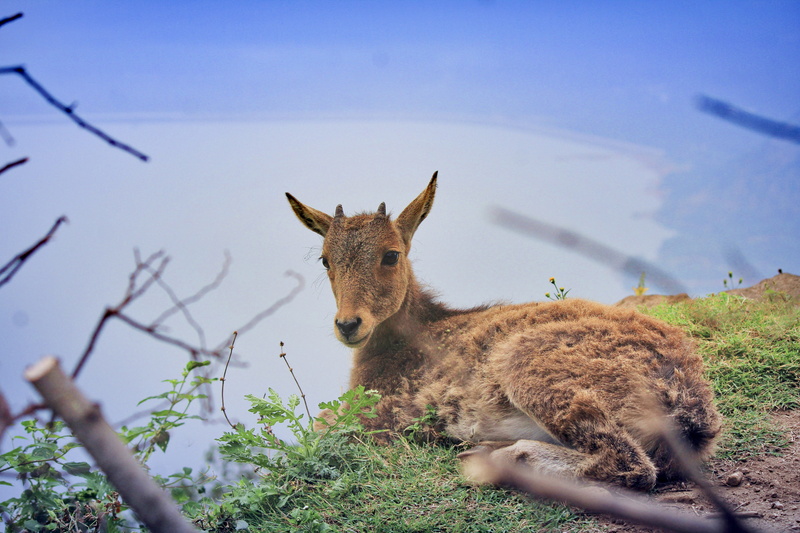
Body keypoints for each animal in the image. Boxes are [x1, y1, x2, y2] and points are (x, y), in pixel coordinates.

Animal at [286, 172, 721, 490]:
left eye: (391, 255)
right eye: (325, 260)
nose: (348, 324)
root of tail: (690, 406)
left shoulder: (382, 415)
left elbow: (326, 427)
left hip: (532, 369)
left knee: (631, 465)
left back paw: (499, 458)